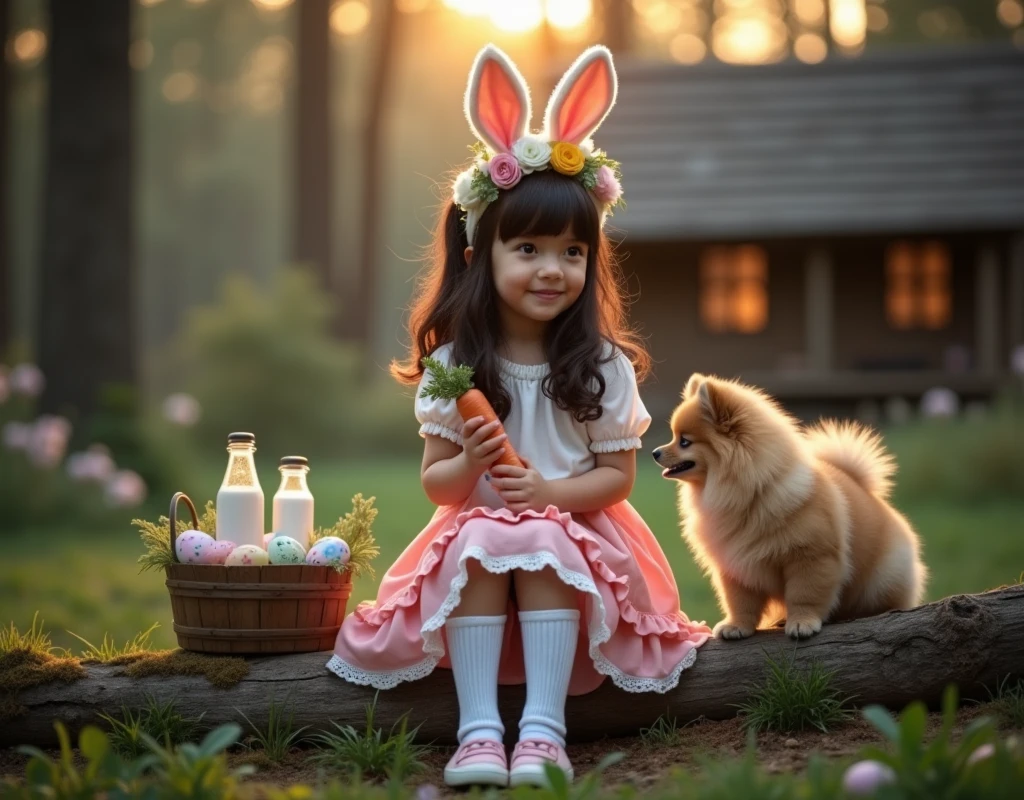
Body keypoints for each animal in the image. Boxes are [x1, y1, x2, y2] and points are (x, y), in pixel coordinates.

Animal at [655, 370, 929, 639]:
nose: (655, 452)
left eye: (684, 441)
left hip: (884, 577)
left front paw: (801, 623)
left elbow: (804, 595)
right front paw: (737, 626)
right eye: (674, 437)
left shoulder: (810, 556)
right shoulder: (736, 565)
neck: (749, 493)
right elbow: (740, 601)